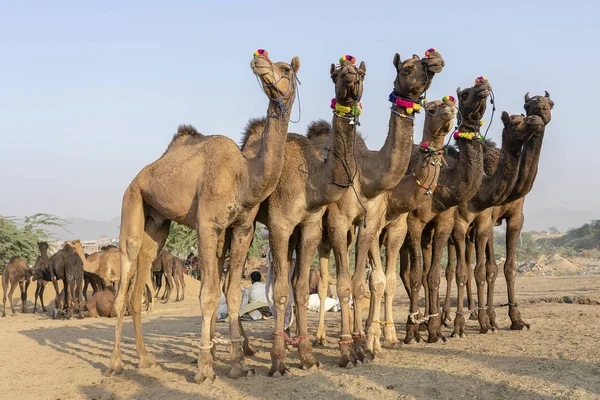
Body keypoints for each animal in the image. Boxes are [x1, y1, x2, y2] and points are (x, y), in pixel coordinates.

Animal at [107, 50, 300, 384]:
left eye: (286, 68)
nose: (258, 59)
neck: (243, 177)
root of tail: (139, 176)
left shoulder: (243, 228)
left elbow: (233, 294)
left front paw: (238, 365)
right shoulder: (208, 225)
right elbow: (208, 295)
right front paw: (205, 369)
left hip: (156, 224)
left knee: (139, 281)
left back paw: (145, 360)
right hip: (131, 200)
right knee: (126, 270)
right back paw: (116, 364)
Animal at [314, 48, 446, 368]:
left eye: (362, 74)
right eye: (407, 67)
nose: (434, 60)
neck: (366, 174)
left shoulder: (374, 222)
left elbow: (367, 283)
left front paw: (368, 344)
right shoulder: (340, 220)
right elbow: (350, 284)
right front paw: (349, 350)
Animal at [398, 78, 492, 344]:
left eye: (453, 102)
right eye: (430, 108)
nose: (483, 85)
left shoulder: (443, 223)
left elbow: (432, 276)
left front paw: (435, 331)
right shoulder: (413, 222)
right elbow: (416, 275)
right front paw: (411, 333)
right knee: (403, 272)